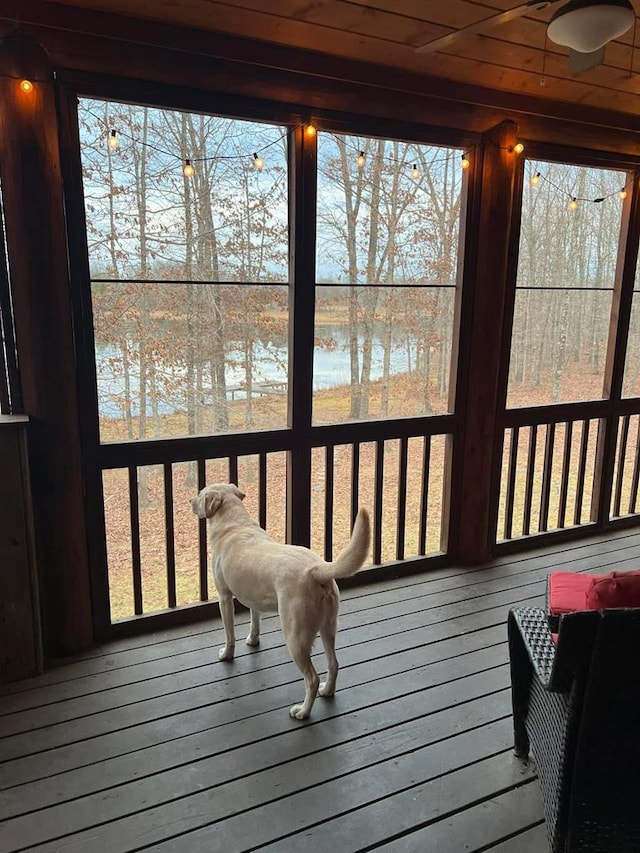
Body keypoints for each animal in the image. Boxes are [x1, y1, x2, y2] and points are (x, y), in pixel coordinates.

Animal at [190, 482, 370, 716]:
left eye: (200, 494)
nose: (190, 501)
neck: (235, 523)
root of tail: (316, 570)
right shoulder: (252, 598)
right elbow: (254, 621)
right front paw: (253, 640)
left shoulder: (224, 597)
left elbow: (230, 635)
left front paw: (226, 654)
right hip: (328, 627)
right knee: (334, 664)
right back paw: (328, 691)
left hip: (295, 637)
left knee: (312, 679)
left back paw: (302, 712)